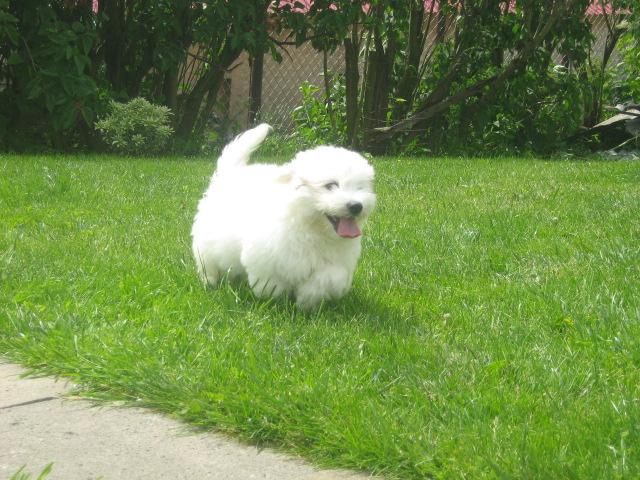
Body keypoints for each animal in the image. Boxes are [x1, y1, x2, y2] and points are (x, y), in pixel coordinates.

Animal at [192, 124, 378, 310]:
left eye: (360, 187)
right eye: (330, 185)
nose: (356, 206)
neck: (312, 228)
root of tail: (229, 174)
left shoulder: (337, 262)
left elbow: (330, 278)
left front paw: (306, 300)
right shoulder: (266, 256)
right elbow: (272, 282)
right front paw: (274, 301)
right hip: (207, 243)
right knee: (208, 263)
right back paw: (211, 282)